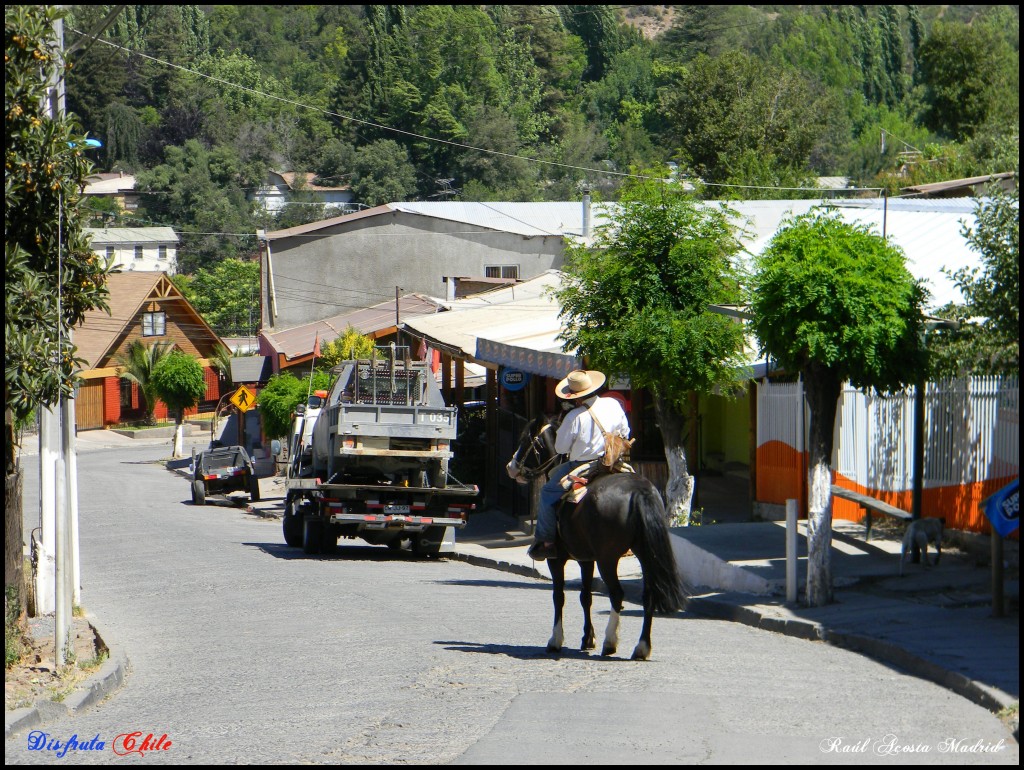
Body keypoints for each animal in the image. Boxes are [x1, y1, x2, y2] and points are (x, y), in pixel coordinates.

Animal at [505, 417, 688, 659]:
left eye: (526, 439)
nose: (511, 467)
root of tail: (639, 490)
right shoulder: (586, 559)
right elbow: (586, 596)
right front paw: (587, 638)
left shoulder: (557, 559)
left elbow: (559, 596)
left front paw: (556, 640)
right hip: (645, 554)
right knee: (648, 595)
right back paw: (641, 647)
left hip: (607, 559)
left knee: (617, 594)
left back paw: (610, 642)